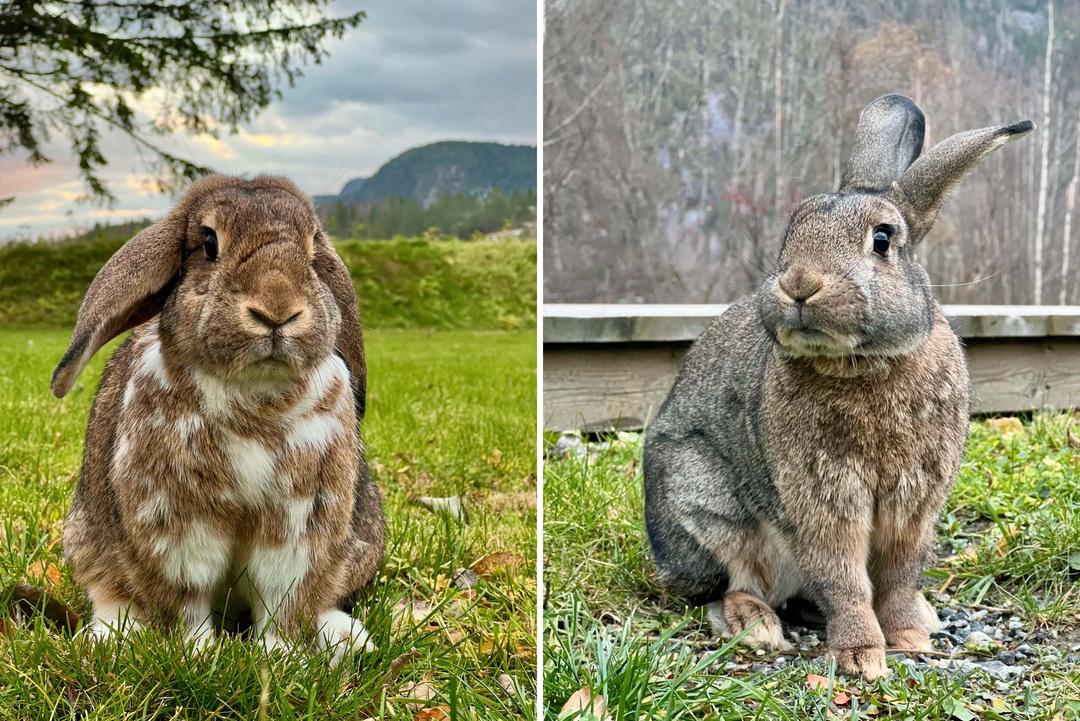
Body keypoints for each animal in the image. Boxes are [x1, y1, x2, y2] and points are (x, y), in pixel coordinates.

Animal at [52, 174, 388, 660]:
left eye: (313, 250)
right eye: (209, 243)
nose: (276, 309)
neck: (255, 392)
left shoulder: (297, 526)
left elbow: (279, 597)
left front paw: (279, 656)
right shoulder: (179, 525)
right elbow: (191, 595)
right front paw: (199, 652)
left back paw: (347, 637)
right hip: (87, 541)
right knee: (112, 592)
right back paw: (111, 636)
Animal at [643, 92, 1032, 677]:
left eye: (882, 240)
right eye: (791, 231)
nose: (800, 283)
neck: (865, 362)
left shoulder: (915, 503)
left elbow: (897, 576)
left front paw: (910, 637)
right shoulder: (824, 497)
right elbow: (843, 577)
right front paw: (860, 656)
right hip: (705, 502)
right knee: (731, 584)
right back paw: (756, 626)